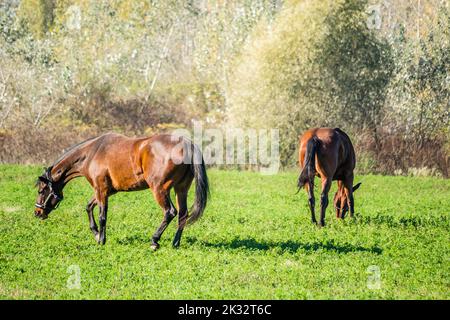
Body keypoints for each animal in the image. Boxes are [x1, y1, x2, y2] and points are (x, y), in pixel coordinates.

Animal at [34, 132, 209, 250]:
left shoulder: (101, 190)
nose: (37, 212)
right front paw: (96, 233)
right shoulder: (105, 191)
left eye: (42, 190)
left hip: (159, 189)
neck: (92, 153)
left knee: (170, 212)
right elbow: (89, 207)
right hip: (181, 189)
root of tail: (186, 143)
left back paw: (154, 240)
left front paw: (101, 239)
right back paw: (175, 243)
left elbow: (102, 216)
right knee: (183, 214)